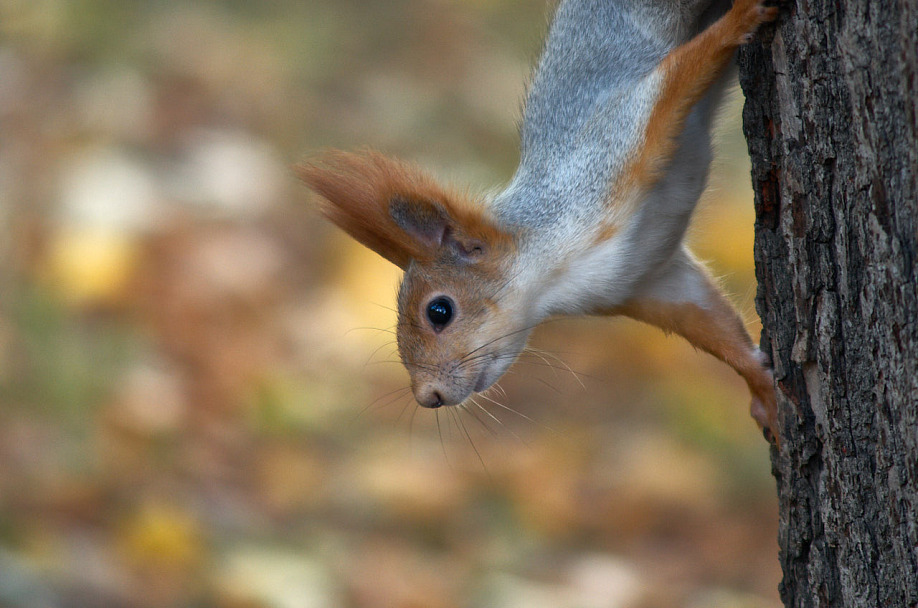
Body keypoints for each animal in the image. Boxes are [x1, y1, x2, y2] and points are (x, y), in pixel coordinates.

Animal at [300, 0, 784, 442]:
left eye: (439, 311)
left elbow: (681, 73)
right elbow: (716, 328)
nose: (427, 397)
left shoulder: (613, 149)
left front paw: (740, 20)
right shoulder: (648, 283)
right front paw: (765, 391)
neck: (556, 276)